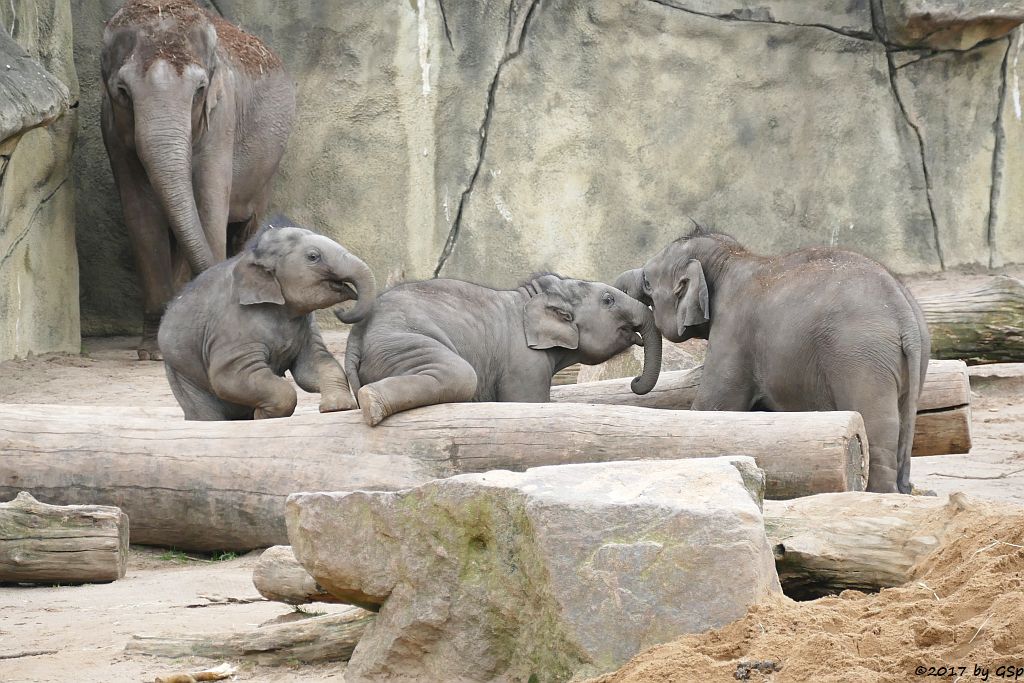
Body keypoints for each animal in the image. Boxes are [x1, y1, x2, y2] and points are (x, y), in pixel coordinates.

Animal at [99, 0, 294, 360]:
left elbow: (209, 201)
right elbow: (141, 215)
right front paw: (154, 351)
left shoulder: (222, 116)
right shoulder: (111, 128)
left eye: (200, 90)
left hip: (269, 168)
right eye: (123, 91)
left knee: (245, 225)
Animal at [161, 218, 378, 421]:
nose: (340, 311)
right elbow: (228, 376)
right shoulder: (233, 326)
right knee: (206, 414)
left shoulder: (306, 326)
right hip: (182, 374)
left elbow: (313, 363)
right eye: (313, 256)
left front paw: (337, 407)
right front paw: (262, 416)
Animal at [344, 274, 663, 423]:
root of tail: (356, 335)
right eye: (608, 300)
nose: (635, 381)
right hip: (401, 342)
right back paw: (371, 404)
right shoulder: (525, 362)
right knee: (461, 375)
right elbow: (528, 404)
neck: (531, 296)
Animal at [614, 227, 929, 493]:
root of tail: (903, 311)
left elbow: (714, 407)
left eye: (647, 281)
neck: (730, 258)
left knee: (876, 420)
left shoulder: (733, 332)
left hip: (860, 357)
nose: (634, 381)